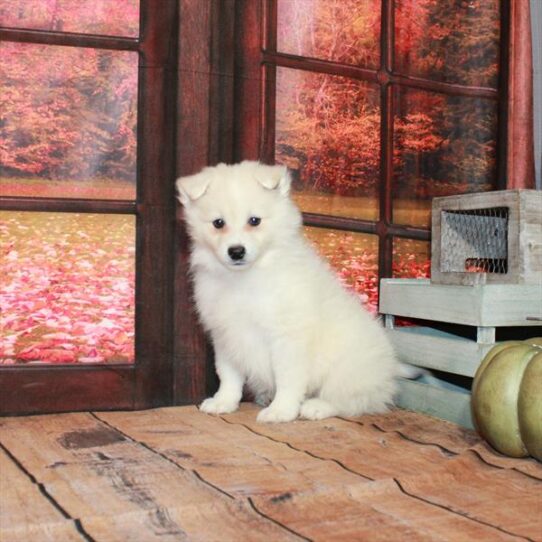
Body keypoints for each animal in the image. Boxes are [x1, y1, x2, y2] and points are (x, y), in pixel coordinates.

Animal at [176, 162, 402, 424]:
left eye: (254, 220)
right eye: (218, 223)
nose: (236, 251)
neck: (246, 277)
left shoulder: (288, 337)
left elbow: (287, 378)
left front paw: (281, 410)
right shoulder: (225, 335)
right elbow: (228, 374)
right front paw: (224, 401)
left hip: (347, 368)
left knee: (350, 400)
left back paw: (316, 406)